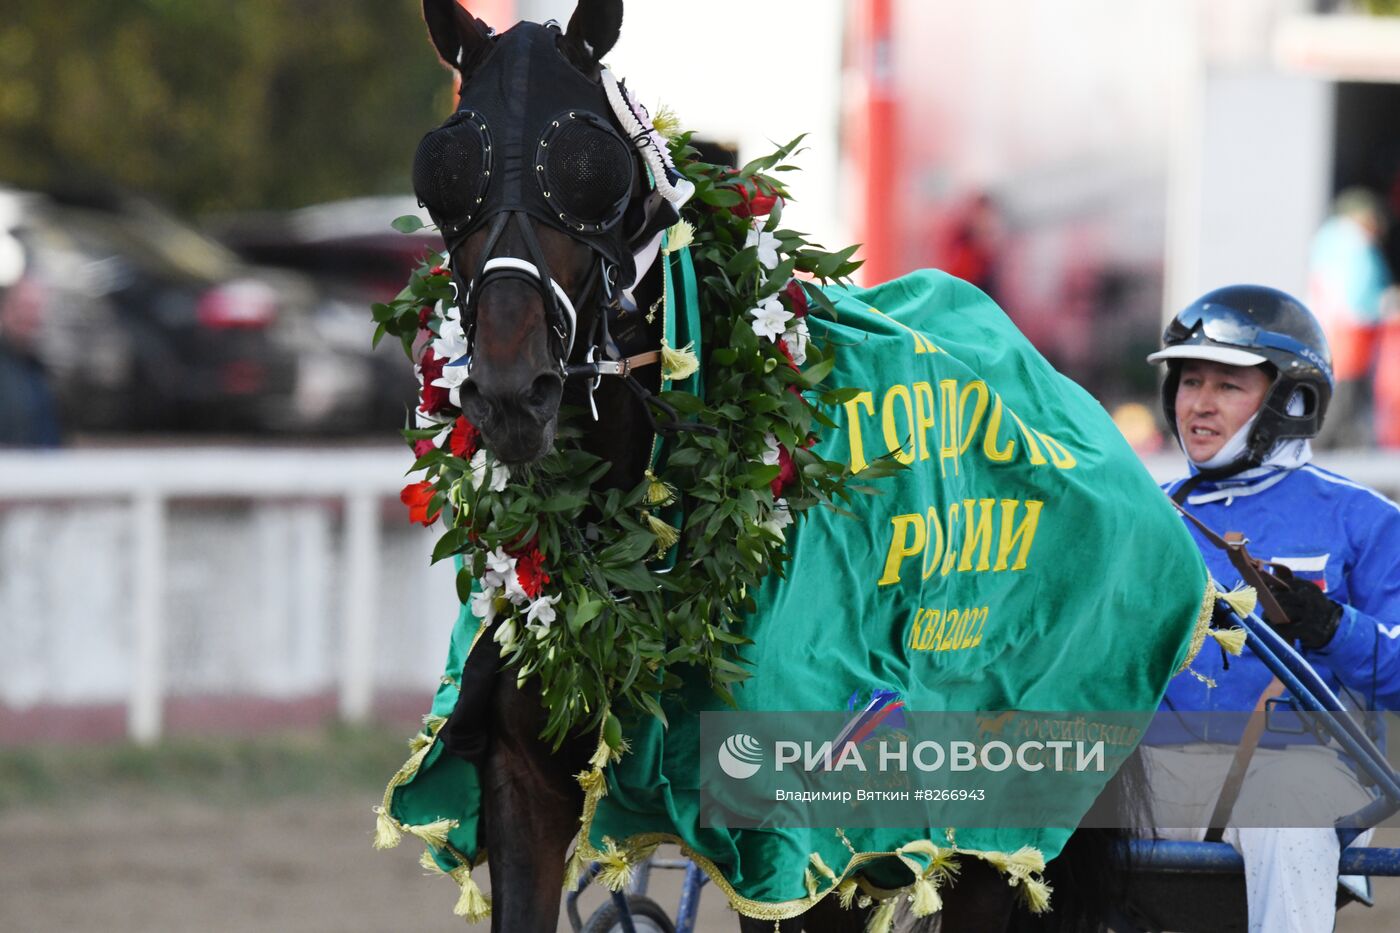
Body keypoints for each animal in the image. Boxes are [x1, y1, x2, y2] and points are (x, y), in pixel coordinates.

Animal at [400, 3, 1142, 924]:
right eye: (448, 169)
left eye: (587, 168)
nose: (510, 389)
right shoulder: (522, 786)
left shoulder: (791, 838)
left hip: (995, 811)